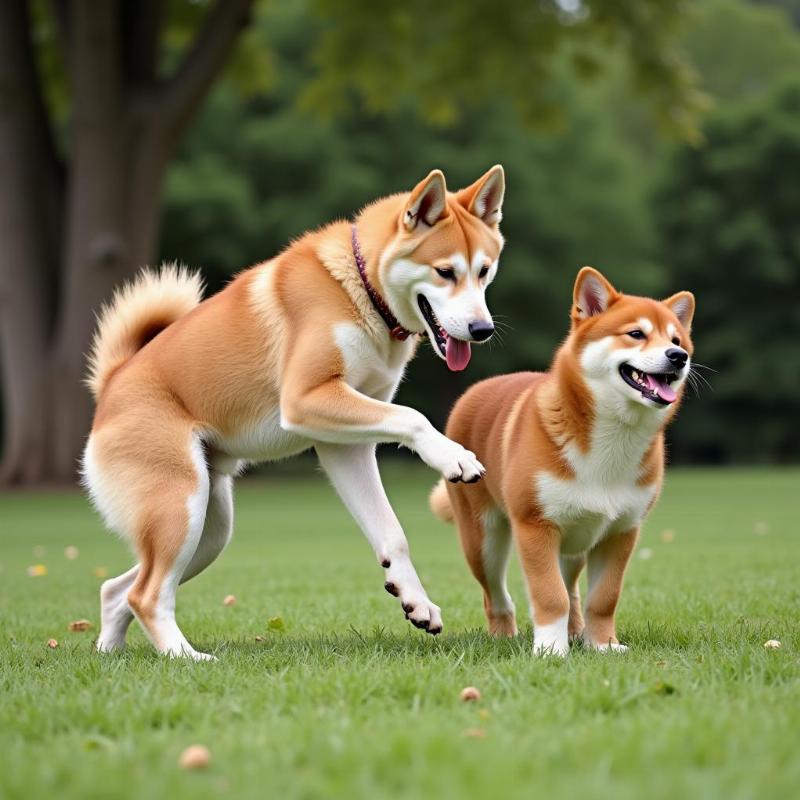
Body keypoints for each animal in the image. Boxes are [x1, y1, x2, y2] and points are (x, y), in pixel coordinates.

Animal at [83, 166, 506, 660]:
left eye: (484, 271)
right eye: (445, 272)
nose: (483, 330)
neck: (359, 288)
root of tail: (112, 384)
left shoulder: (344, 445)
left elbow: (391, 532)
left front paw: (413, 599)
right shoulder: (307, 399)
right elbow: (413, 416)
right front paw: (453, 456)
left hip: (208, 528)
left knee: (116, 590)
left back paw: (111, 653)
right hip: (179, 508)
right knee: (145, 594)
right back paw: (185, 657)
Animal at [432, 268, 692, 656]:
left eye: (677, 339)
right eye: (636, 334)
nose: (678, 356)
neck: (613, 437)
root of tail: (474, 391)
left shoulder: (621, 532)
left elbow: (603, 597)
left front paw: (602, 645)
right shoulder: (536, 527)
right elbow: (550, 596)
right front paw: (550, 650)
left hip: (576, 545)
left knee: (572, 591)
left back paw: (576, 632)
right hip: (484, 541)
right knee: (496, 595)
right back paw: (504, 636)